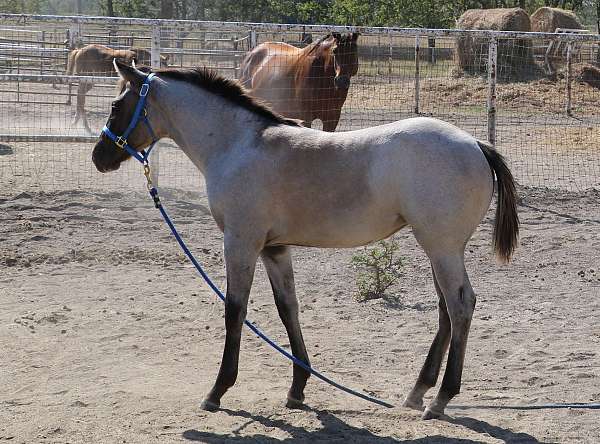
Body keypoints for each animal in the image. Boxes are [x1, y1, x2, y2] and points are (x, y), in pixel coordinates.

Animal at [91, 59, 516, 420]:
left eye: (116, 105)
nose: (99, 157)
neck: (237, 144)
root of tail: (476, 144)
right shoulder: (274, 249)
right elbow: (288, 309)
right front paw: (297, 389)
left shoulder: (241, 243)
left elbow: (235, 310)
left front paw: (217, 391)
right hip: (438, 248)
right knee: (446, 310)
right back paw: (417, 393)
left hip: (442, 247)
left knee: (460, 306)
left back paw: (441, 399)